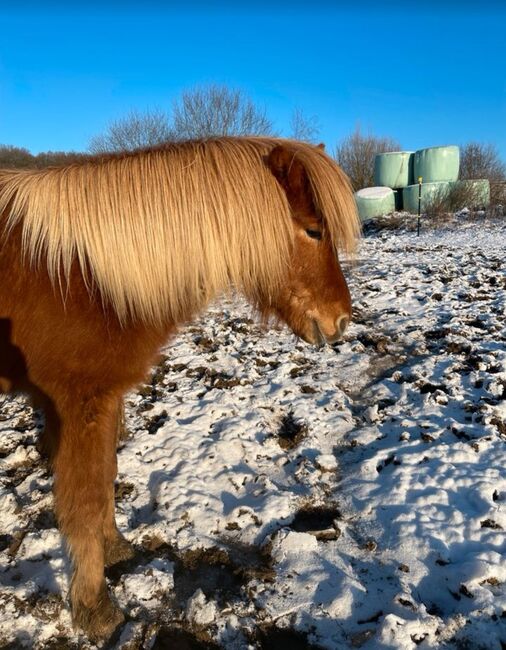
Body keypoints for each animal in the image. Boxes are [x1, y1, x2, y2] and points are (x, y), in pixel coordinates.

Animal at [0, 137, 360, 636]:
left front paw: (116, 549)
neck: (84, 278)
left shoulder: (102, 403)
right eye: (312, 231)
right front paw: (96, 609)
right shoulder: (76, 405)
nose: (341, 321)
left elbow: (106, 475)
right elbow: (84, 500)